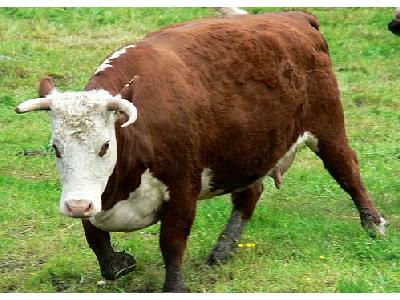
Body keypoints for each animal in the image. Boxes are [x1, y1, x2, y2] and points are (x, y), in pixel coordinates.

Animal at [15, 9, 388, 292]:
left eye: (105, 146)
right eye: (56, 148)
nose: (76, 205)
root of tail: (293, 17)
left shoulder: (183, 186)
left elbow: (171, 242)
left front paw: (174, 286)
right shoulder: (93, 194)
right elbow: (94, 237)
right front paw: (119, 263)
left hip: (327, 127)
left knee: (347, 170)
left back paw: (373, 224)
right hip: (249, 151)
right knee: (249, 194)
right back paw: (224, 248)